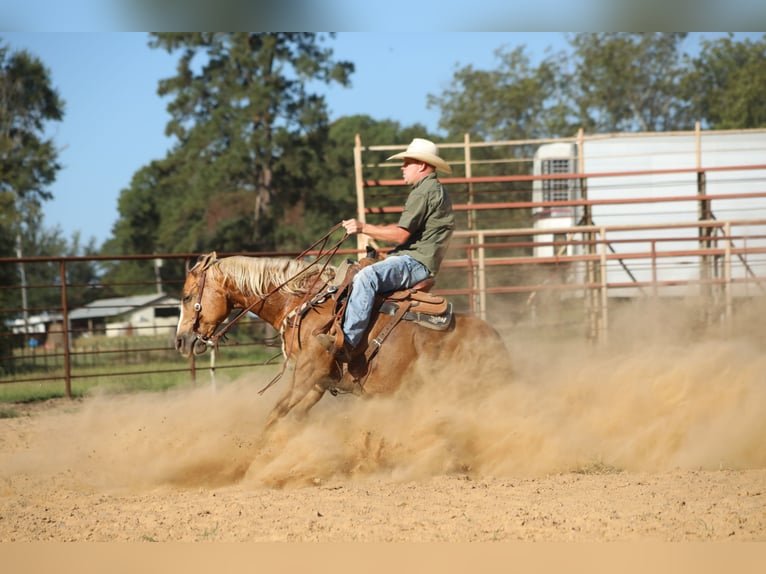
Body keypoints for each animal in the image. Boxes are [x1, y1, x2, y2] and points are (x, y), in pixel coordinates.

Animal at [174, 252, 510, 428]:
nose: (180, 341)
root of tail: (496, 340)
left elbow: (276, 413)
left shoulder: (307, 373)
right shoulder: (319, 381)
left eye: (188, 296)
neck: (302, 303)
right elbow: (294, 417)